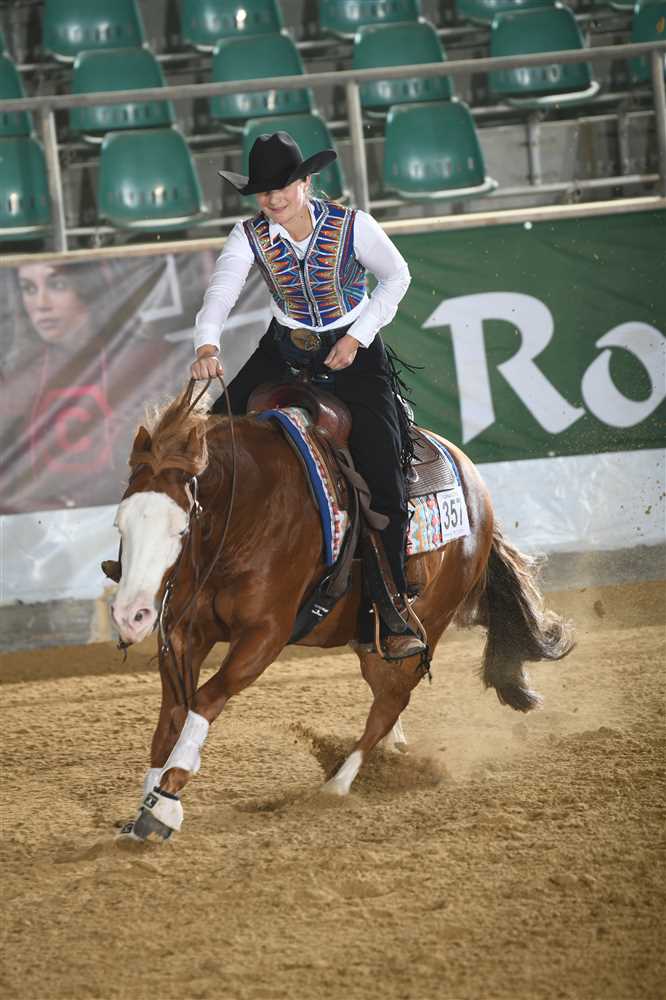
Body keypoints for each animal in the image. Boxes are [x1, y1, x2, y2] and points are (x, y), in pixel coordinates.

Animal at [110, 385, 574, 841]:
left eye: (180, 528)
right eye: (120, 523)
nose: (130, 615)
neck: (250, 513)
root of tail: (475, 483)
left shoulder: (265, 634)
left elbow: (205, 700)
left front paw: (165, 805)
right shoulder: (183, 631)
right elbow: (171, 716)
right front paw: (146, 800)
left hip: (429, 621)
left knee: (392, 700)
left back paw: (337, 785)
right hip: (370, 640)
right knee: (387, 695)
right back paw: (389, 752)